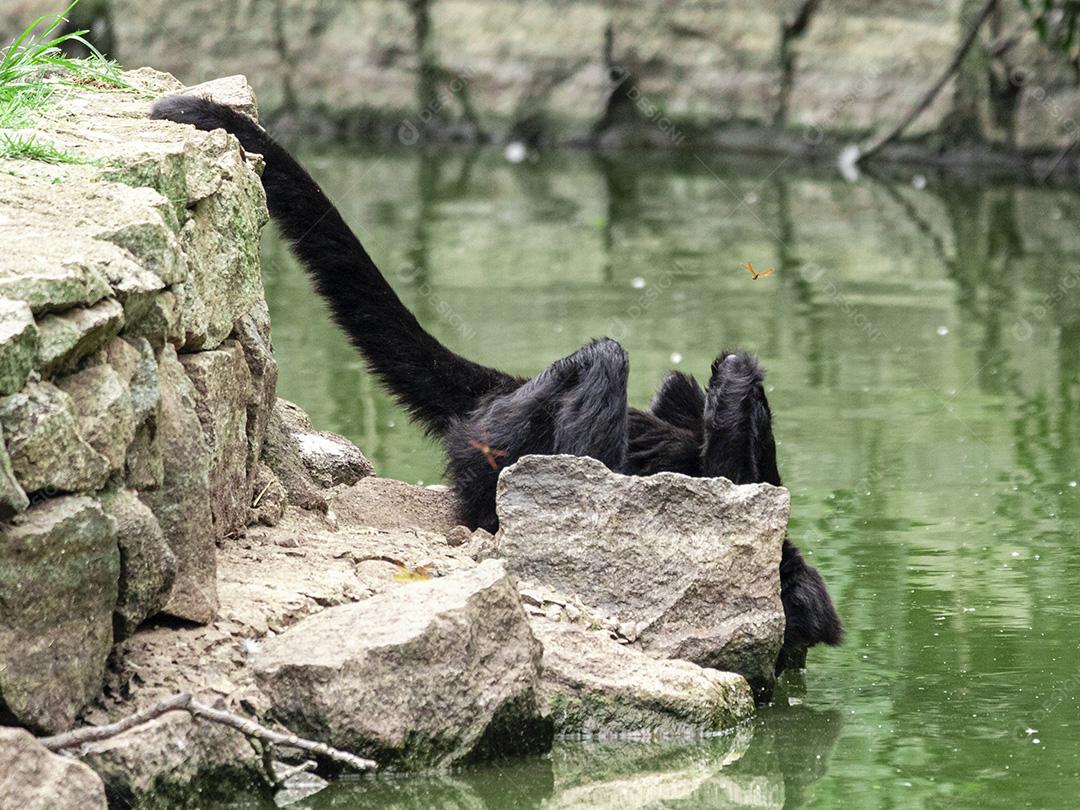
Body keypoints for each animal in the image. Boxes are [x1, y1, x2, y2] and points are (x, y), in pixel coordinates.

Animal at [151, 96, 842, 677]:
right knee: (605, 360)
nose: (790, 667)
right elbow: (732, 442)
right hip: (502, 440)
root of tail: (499, 393)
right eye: (795, 645)